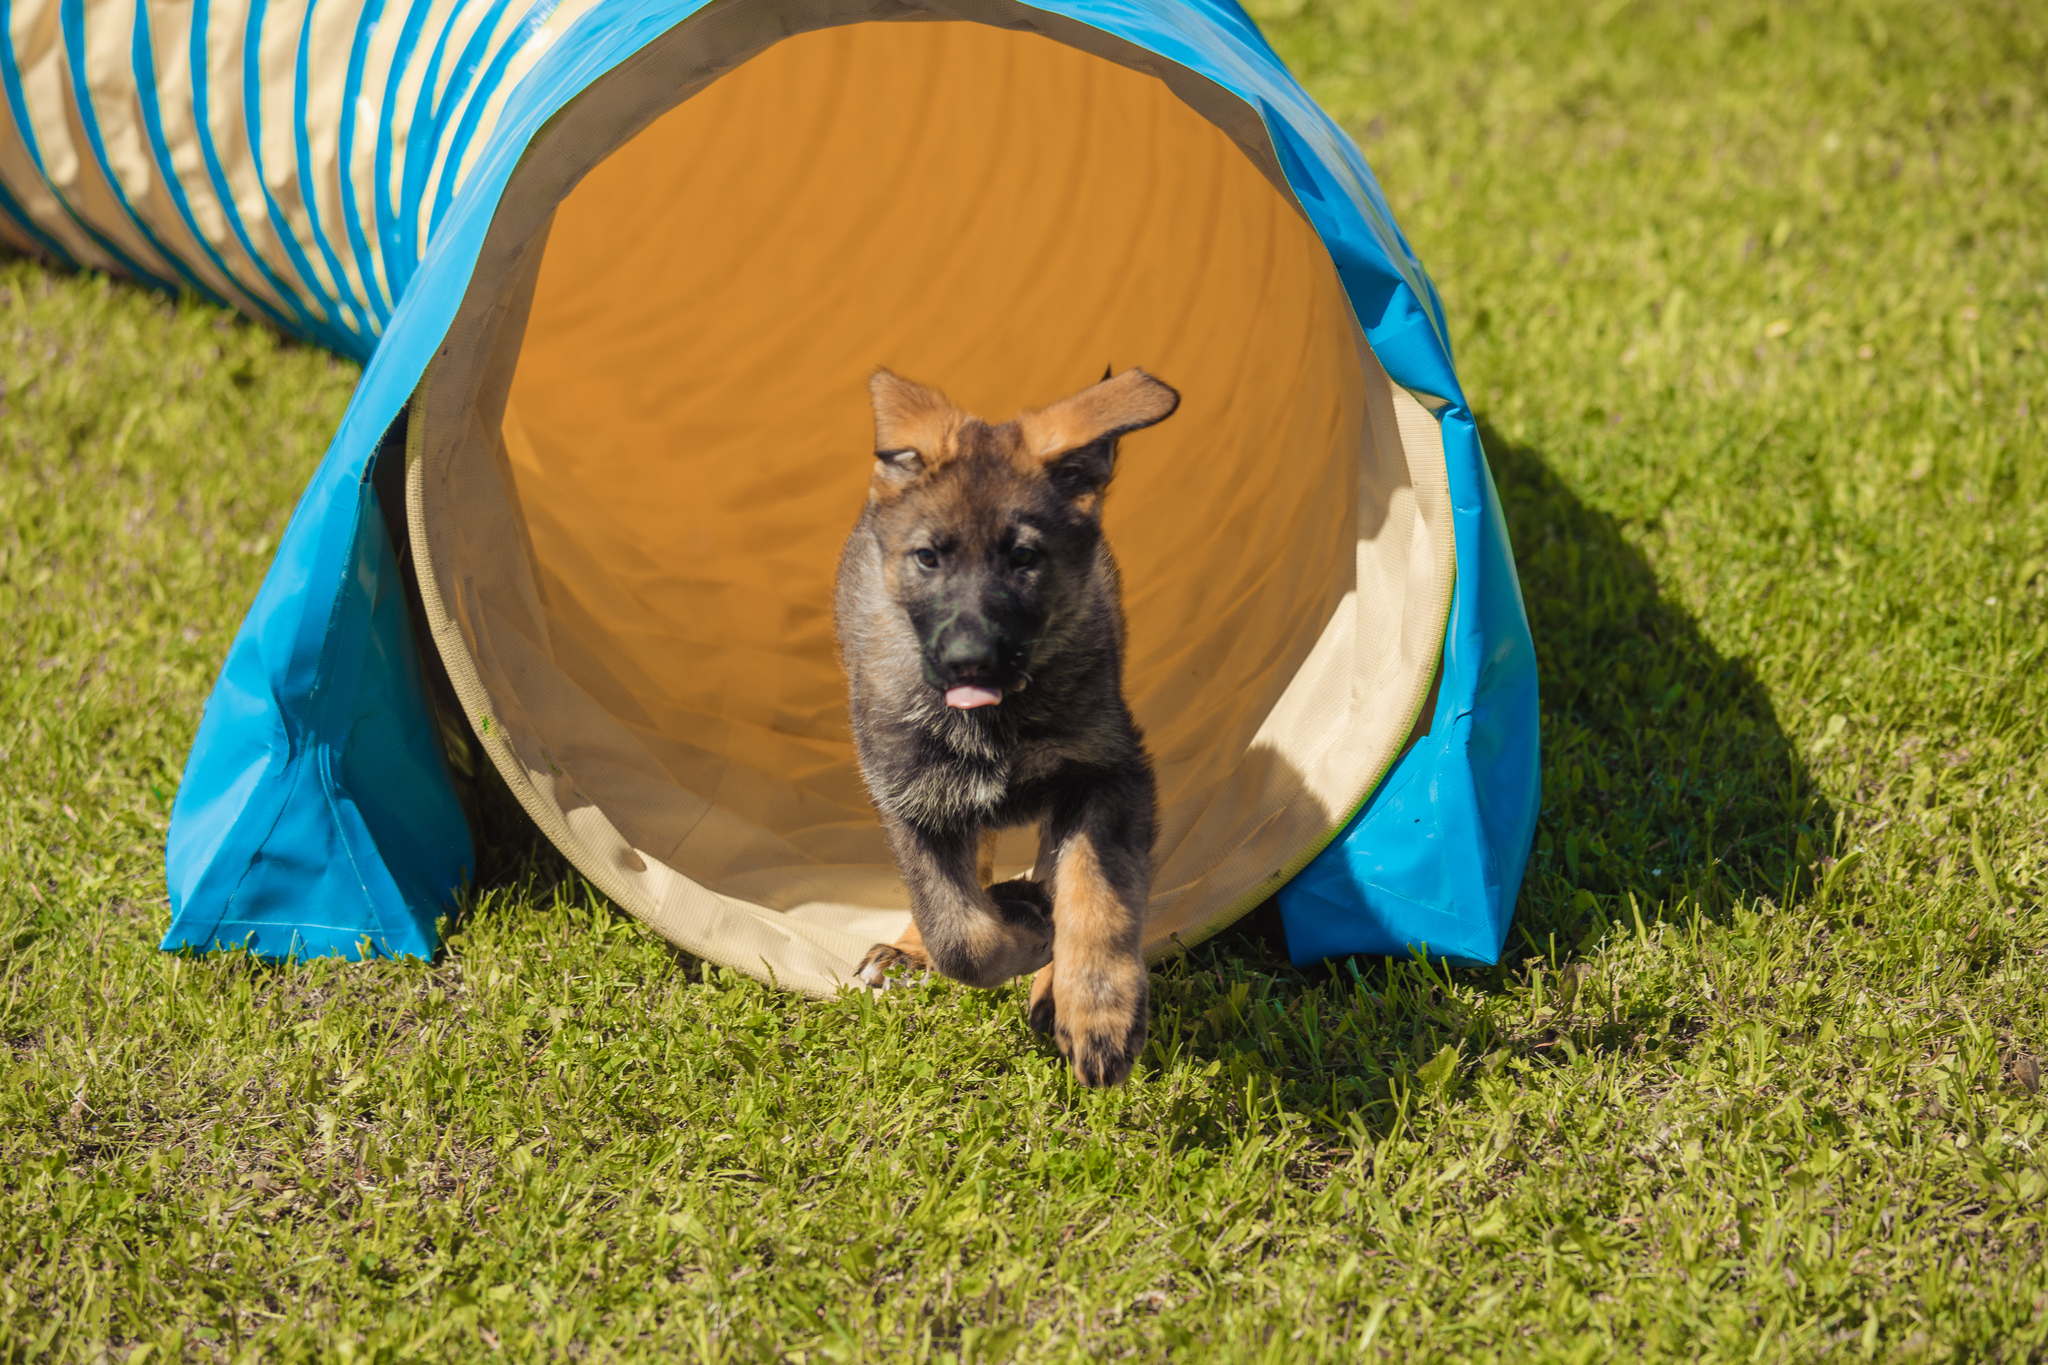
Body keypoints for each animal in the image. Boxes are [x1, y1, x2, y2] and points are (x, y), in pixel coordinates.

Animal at [835, 366, 1187, 1088]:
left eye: (1025, 558)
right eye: (928, 558)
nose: (970, 659)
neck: (998, 720)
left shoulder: (1108, 774)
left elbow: (1098, 891)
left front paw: (1095, 1007)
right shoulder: (911, 802)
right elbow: (960, 934)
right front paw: (1021, 931)